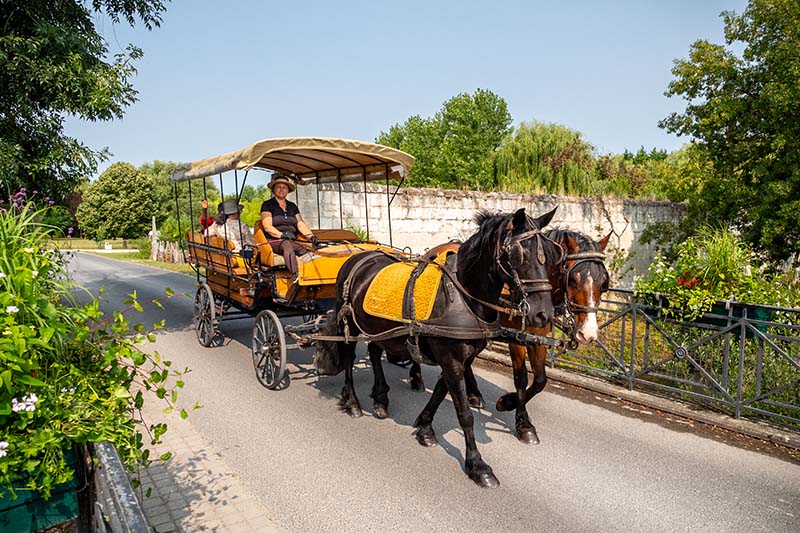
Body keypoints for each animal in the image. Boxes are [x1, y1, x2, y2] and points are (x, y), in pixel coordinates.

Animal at [314, 207, 564, 486]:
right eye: (518, 254)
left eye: (551, 255)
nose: (543, 315)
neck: (465, 296)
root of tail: (357, 258)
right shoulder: (451, 358)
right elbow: (464, 413)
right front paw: (477, 465)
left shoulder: (459, 358)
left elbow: (440, 392)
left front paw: (425, 428)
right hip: (350, 322)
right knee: (348, 356)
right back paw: (353, 401)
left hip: (378, 326)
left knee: (375, 352)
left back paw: (380, 397)